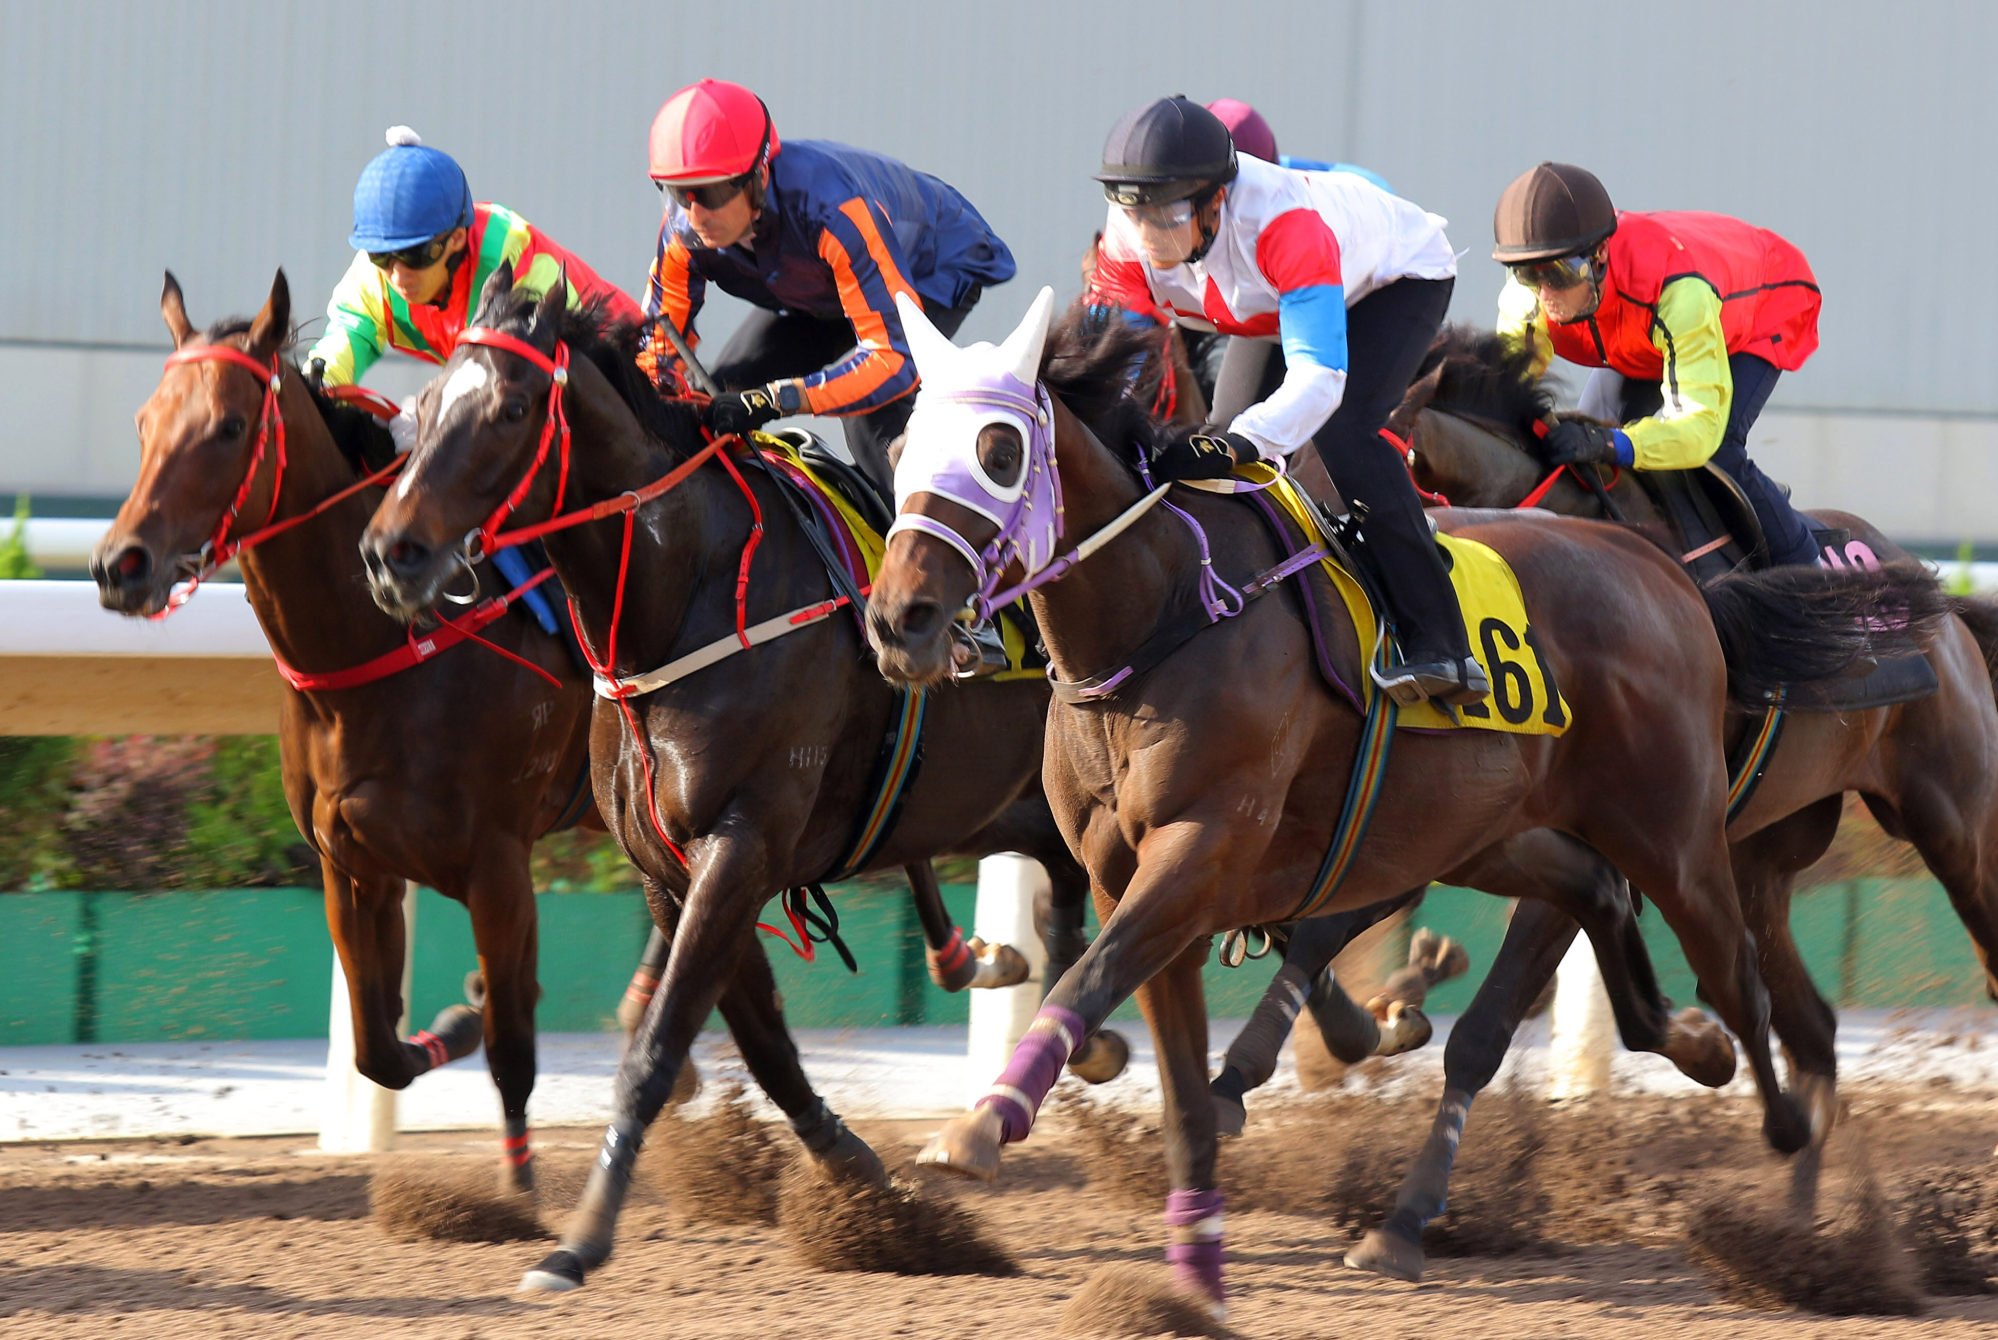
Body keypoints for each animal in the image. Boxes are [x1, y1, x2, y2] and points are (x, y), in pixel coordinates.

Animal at [87, 269, 1038, 1198]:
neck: (378, 650)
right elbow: (378, 1047)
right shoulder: (348, 859)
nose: (118, 564)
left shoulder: (498, 856)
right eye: (143, 422)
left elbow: (511, 1039)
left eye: (228, 427)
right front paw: (458, 1017)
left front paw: (520, 1185)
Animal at [363, 265, 1126, 1302]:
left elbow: (657, 1049)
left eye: (512, 408)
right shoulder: (674, 865)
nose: (389, 554)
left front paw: (578, 1242)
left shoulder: (745, 841)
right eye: (426, 403)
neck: (680, 602)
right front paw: (865, 1183)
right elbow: (759, 1040)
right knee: (1067, 898)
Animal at [863, 291, 1950, 1310]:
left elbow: (1093, 977)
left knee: (1740, 979)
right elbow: (1159, 1051)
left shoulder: (1203, 846)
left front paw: (980, 1126)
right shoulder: (1131, 865)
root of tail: (1667, 578)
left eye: (1000, 450)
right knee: (1602, 897)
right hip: (1495, 831)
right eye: (905, 445)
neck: (1165, 613)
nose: (898, 619)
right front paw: (1194, 1264)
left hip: (1677, 836)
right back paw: (1685, 1051)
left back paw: (1778, 1135)